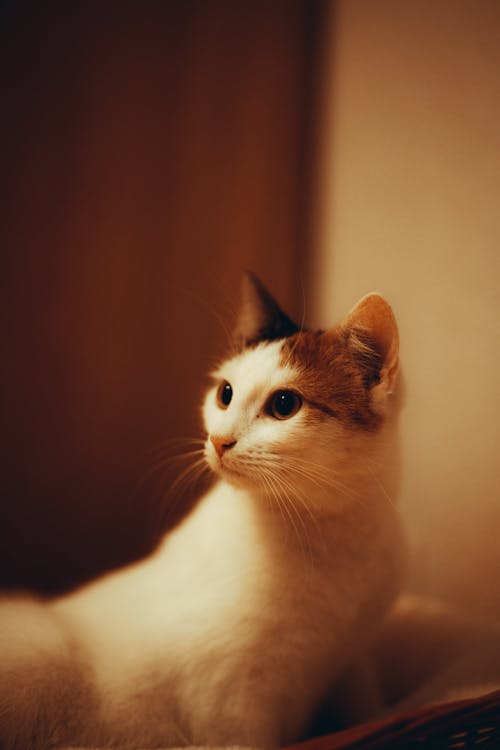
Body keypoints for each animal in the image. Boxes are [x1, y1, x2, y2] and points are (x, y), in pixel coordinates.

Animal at [0, 274, 404, 748]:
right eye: (224, 393)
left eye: (285, 405)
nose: (219, 440)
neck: (330, 532)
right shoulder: (226, 697)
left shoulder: (352, 658)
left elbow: (369, 705)